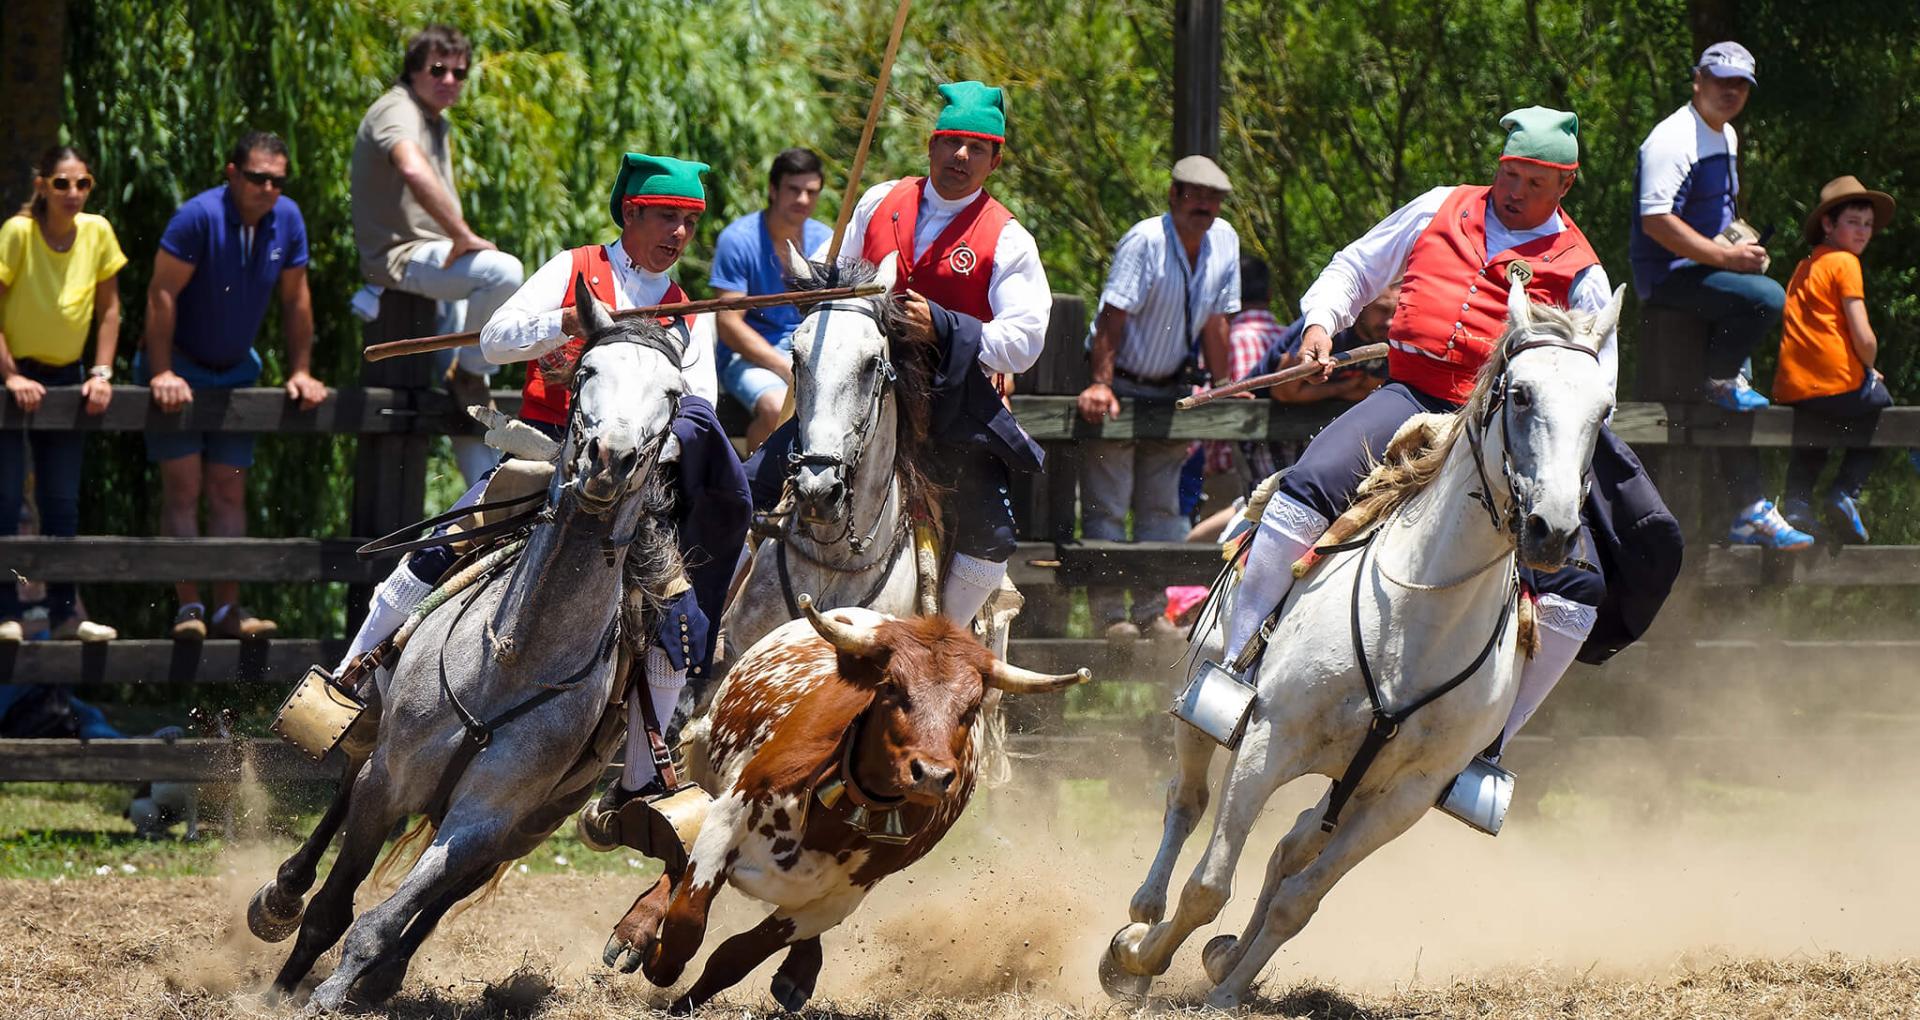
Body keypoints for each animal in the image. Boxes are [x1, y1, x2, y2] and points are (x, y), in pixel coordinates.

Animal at [243, 282, 687, 1014]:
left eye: (674, 394)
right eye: (587, 370)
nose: (612, 458)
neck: (513, 657)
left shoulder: (485, 818)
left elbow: (383, 919)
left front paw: (337, 989)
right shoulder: (389, 779)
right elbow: (333, 904)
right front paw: (284, 987)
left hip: (528, 824)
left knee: (441, 899)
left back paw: (385, 975)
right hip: (380, 742)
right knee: (342, 795)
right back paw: (280, 895)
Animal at [602, 599, 1082, 1014]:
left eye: (971, 705)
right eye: (891, 686)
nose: (931, 774)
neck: (837, 811)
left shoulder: (837, 900)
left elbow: (737, 954)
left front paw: (686, 999)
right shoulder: (726, 819)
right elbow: (686, 921)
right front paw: (657, 958)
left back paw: (797, 973)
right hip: (705, 763)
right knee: (675, 856)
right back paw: (634, 932)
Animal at [1105, 284, 1628, 1006]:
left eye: (1602, 411)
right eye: (1520, 395)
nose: (1553, 529)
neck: (1417, 624)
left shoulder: (1402, 800)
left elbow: (1299, 900)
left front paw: (1228, 987)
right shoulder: (1269, 741)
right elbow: (1209, 885)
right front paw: (1140, 957)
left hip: (1352, 785)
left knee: (1293, 847)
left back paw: (1221, 956)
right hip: (1203, 701)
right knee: (1187, 802)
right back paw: (1139, 925)